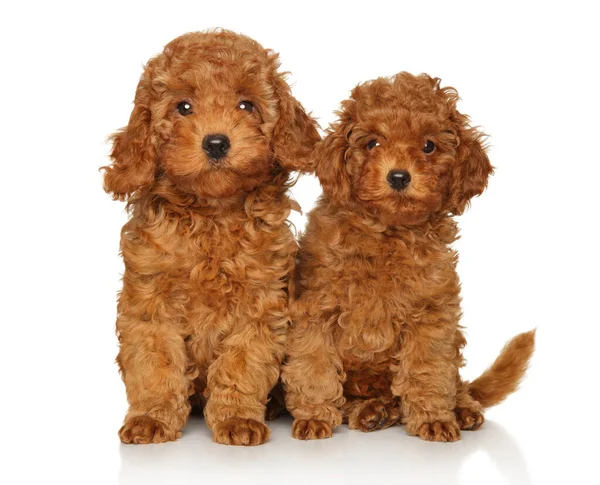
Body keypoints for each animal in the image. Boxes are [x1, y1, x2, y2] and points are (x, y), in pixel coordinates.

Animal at [103, 30, 322, 444]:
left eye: (247, 104)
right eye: (183, 107)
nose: (216, 142)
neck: (212, 215)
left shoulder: (259, 302)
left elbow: (241, 362)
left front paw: (237, 419)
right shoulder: (150, 299)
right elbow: (155, 361)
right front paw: (151, 417)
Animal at [282, 73, 536, 442]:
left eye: (428, 146)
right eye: (372, 143)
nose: (399, 176)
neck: (387, 234)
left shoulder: (431, 314)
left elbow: (428, 369)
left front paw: (433, 418)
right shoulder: (316, 308)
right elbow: (313, 365)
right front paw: (314, 416)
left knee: (454, 382)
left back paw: (459, 408)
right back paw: (371, 412)